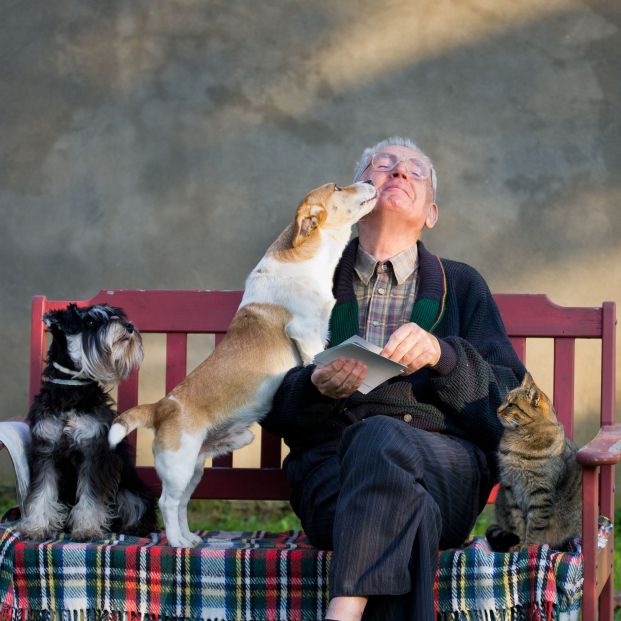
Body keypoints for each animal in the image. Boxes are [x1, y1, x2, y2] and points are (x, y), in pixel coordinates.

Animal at [108, 180, 376, 548]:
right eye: (337, 186)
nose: (371, 181)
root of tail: (160, 407)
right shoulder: (306, 334)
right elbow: (313, 362)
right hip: (178, 466)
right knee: (167, 502)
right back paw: (177, 542)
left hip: (195, 468)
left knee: (182, 504)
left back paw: (190, 538)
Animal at [484, 370, 580, 548]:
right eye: (504, 400)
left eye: (511, 405)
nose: (497, 409)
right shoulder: (511, 489)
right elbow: (517, 522)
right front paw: (518, 546)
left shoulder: (540, 492)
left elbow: (535, 525)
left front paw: (528, 547)